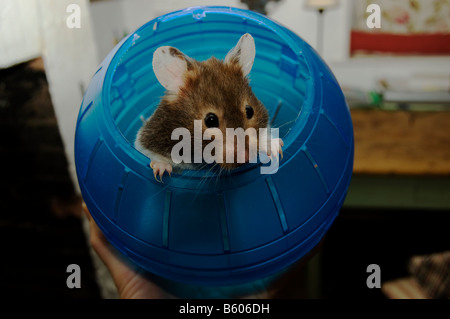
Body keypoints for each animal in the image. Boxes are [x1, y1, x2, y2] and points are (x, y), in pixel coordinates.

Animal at [134, 33, 284, 182]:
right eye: (210, 120)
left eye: (250, 111)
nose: (245, 158)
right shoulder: (149, 138)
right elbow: (152, 155)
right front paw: (161, 171)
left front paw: (276, 147)